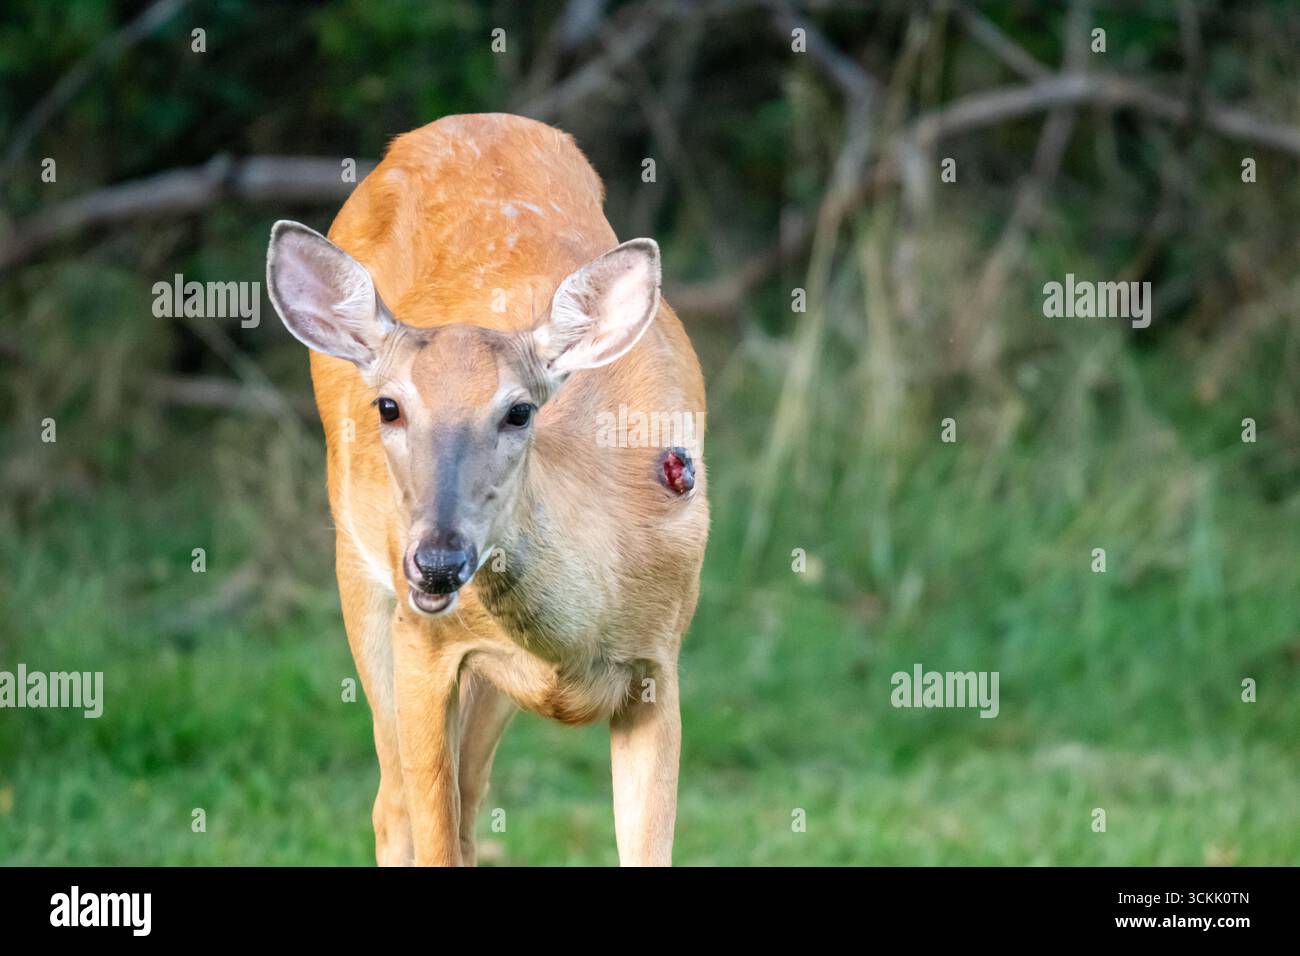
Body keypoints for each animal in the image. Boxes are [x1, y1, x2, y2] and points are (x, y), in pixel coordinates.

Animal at [264, 114, 709, 866]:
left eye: (519, 411)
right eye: (389, 406)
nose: (439, 561)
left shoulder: (661, 662)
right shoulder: (423, 644)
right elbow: (428, 833)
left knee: (469, 799)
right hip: (359, 569)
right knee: (393, 807)